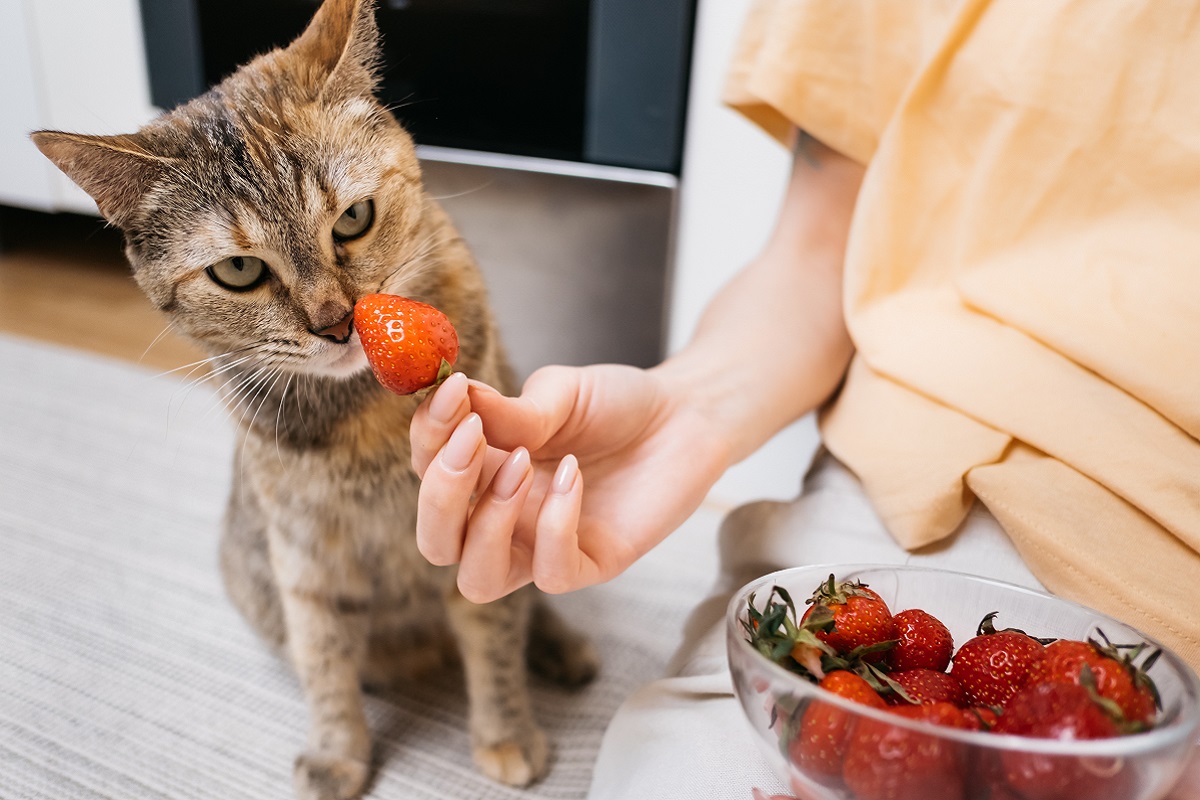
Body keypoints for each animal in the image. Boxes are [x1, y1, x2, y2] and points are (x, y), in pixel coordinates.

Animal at [34, 1, 600, 800]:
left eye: (353, 219)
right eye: (239, 271)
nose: (335, 324)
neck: (366, 421)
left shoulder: (482, 531)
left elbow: (493, 636)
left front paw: (506, 734)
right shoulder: (307, 564)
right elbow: (326, 666)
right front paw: (338, 754)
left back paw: (561, 648)